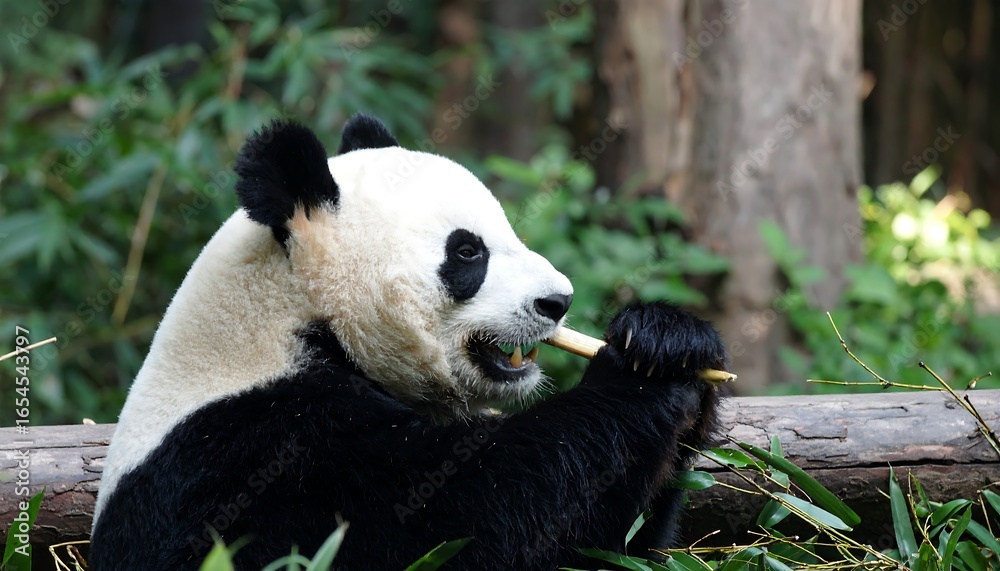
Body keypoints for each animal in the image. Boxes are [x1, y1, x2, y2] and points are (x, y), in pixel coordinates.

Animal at [90, 114, 728, 570]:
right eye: (467, 251)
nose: (557, 301)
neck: (291, 319)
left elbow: (606, 549)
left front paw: (670, 341)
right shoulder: (255, 459)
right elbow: (463, 521)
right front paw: (637, 378)